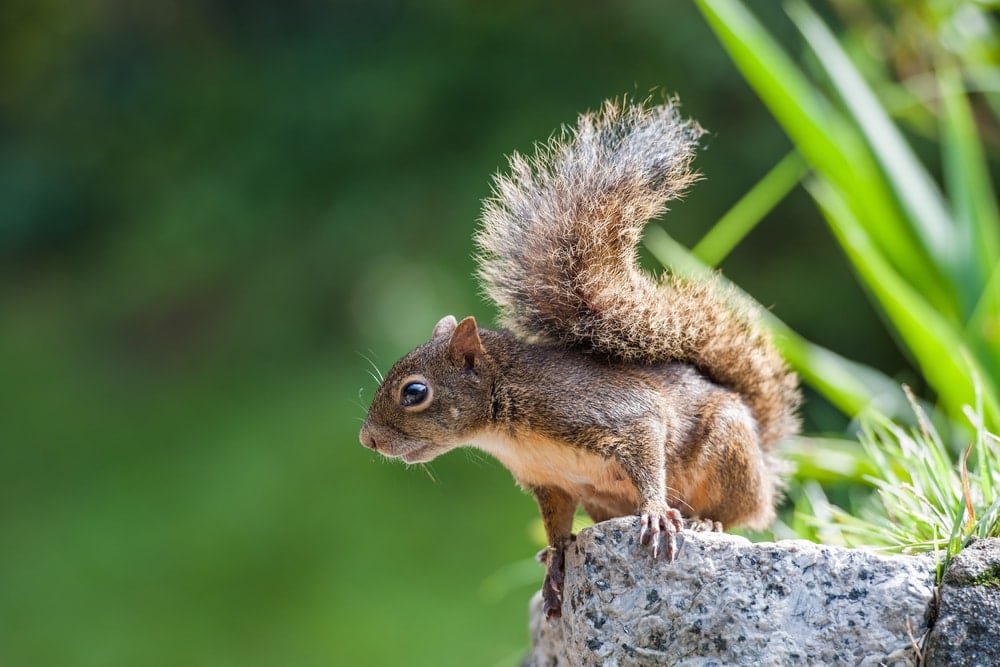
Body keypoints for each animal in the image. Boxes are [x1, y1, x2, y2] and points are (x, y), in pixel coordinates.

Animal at [359, 98, 800, 619]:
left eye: (415, 392)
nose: (366, 439)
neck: (505, 427)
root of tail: (766, 463)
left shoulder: (614, 413)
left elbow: (647, 445)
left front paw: (655, 512)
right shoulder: (551, 483)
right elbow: (556, 526)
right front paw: (556, 559)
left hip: (728, 451)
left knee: (740, 513)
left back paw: (707, 524)